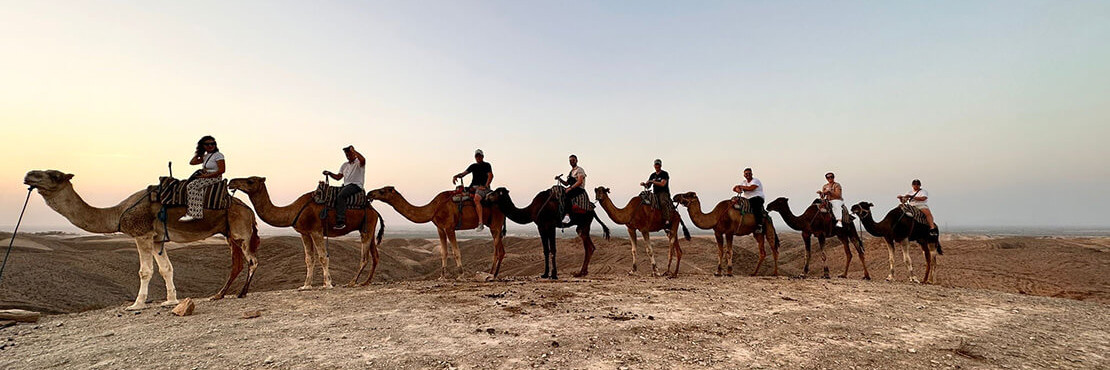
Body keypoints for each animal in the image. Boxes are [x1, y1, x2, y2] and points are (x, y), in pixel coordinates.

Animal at [26, 168, 261, 308]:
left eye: (54, 175)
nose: (29, 175)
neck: (117, 213)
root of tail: (249, 209)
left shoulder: (142, 234)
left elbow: (145, 271)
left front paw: (136, 304)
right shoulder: (157, 239)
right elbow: (166, 269)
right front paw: (170, 301)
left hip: (240, 229)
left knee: (252, 260)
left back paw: (241, 293)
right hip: (230, 233)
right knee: (237, 263)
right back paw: (220, 295)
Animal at [227, 176, 384, 288]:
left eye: (250, 181)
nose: (231, 182)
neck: (294, 210)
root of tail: (374, 210)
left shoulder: (316, 230)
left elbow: (323, 257)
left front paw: (328, 284)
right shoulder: (305, 233)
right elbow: (309, 259)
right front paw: (306, 285)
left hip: (368, 225)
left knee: (364, 257)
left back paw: (352, 282)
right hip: (367, 227)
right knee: (375, 256)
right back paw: (365, 282)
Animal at [366, 185, 508, 277]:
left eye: (382, 191)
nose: (370, 193)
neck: (434, 207)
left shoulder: (450, 227)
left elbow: (456, 252)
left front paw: (461, 275)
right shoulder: (440, 228)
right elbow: (443, 252)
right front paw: (442, 276)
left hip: (495, 224)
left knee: (497, 250)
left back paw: (491, 274)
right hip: (494, 226)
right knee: (501, 250)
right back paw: (494, 274)